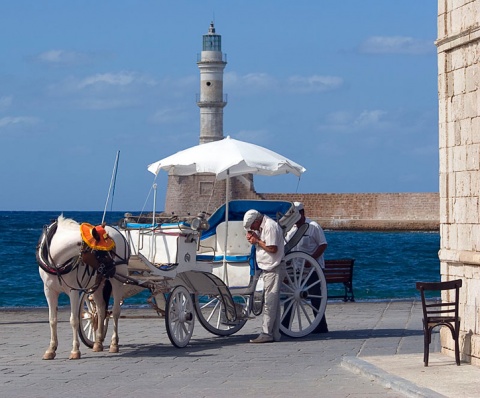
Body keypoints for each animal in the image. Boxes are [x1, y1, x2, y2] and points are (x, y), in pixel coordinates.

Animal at [37, 216, 128, 360]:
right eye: (100, 252)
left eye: (111, 250)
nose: (112, 269)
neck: (56, 261)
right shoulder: (49, 290)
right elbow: (52, 320)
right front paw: (51, 349)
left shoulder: (73, 291)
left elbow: (74, 320)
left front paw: (75, 350)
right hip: (97, 283)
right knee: (101, 310)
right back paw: (98, 342)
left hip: (117, 282)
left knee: (115, 312)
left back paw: (114, 344)